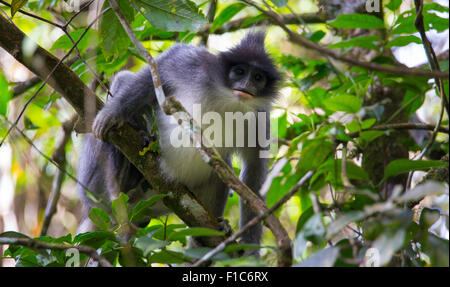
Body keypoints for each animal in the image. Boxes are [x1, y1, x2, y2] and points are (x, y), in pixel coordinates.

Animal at [77, 32, 282, 250]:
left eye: (258, 77)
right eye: (240, 72)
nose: (246, 85)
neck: (229, 100)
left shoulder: (260, 118)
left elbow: (254, 171)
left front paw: (251, 248)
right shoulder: (195, 65)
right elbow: (157, 70)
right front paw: (112, 115)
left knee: (220, 166)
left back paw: (209, 234)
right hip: (92, 184)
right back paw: (127, 173)